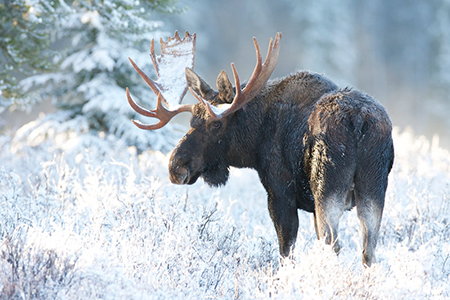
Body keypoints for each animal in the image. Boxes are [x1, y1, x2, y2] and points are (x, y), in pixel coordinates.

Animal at [125, 30, 394, 266]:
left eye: (216, 123)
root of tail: (357, 120)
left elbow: (286, 252)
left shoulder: (280, 193)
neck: (255, 142)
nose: (176, 167)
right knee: (369, 250)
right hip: (373, 187)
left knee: (333, 244)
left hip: (327, 186)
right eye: (192, 121)